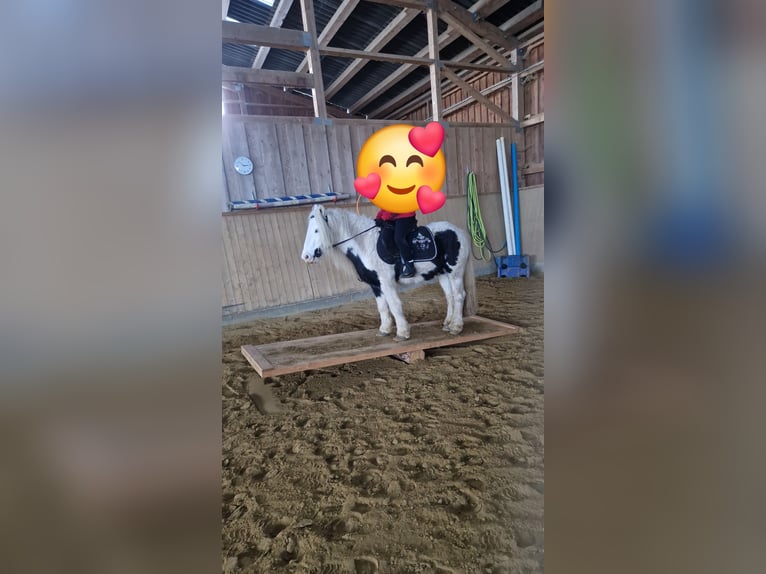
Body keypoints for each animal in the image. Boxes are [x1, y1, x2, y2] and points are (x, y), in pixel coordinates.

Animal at [301, 204, 475, 341]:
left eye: (316, 230)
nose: (306, 257)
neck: (365, 245)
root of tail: (459, 232)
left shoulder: (386, 282)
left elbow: (394, 305)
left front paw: (402, 333)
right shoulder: (375, 285)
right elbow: (382, 307)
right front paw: (384, 330)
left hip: (455, 272)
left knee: (459, 296)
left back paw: (456, 327)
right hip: (443, 273)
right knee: (450, 296)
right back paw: (448, 324)